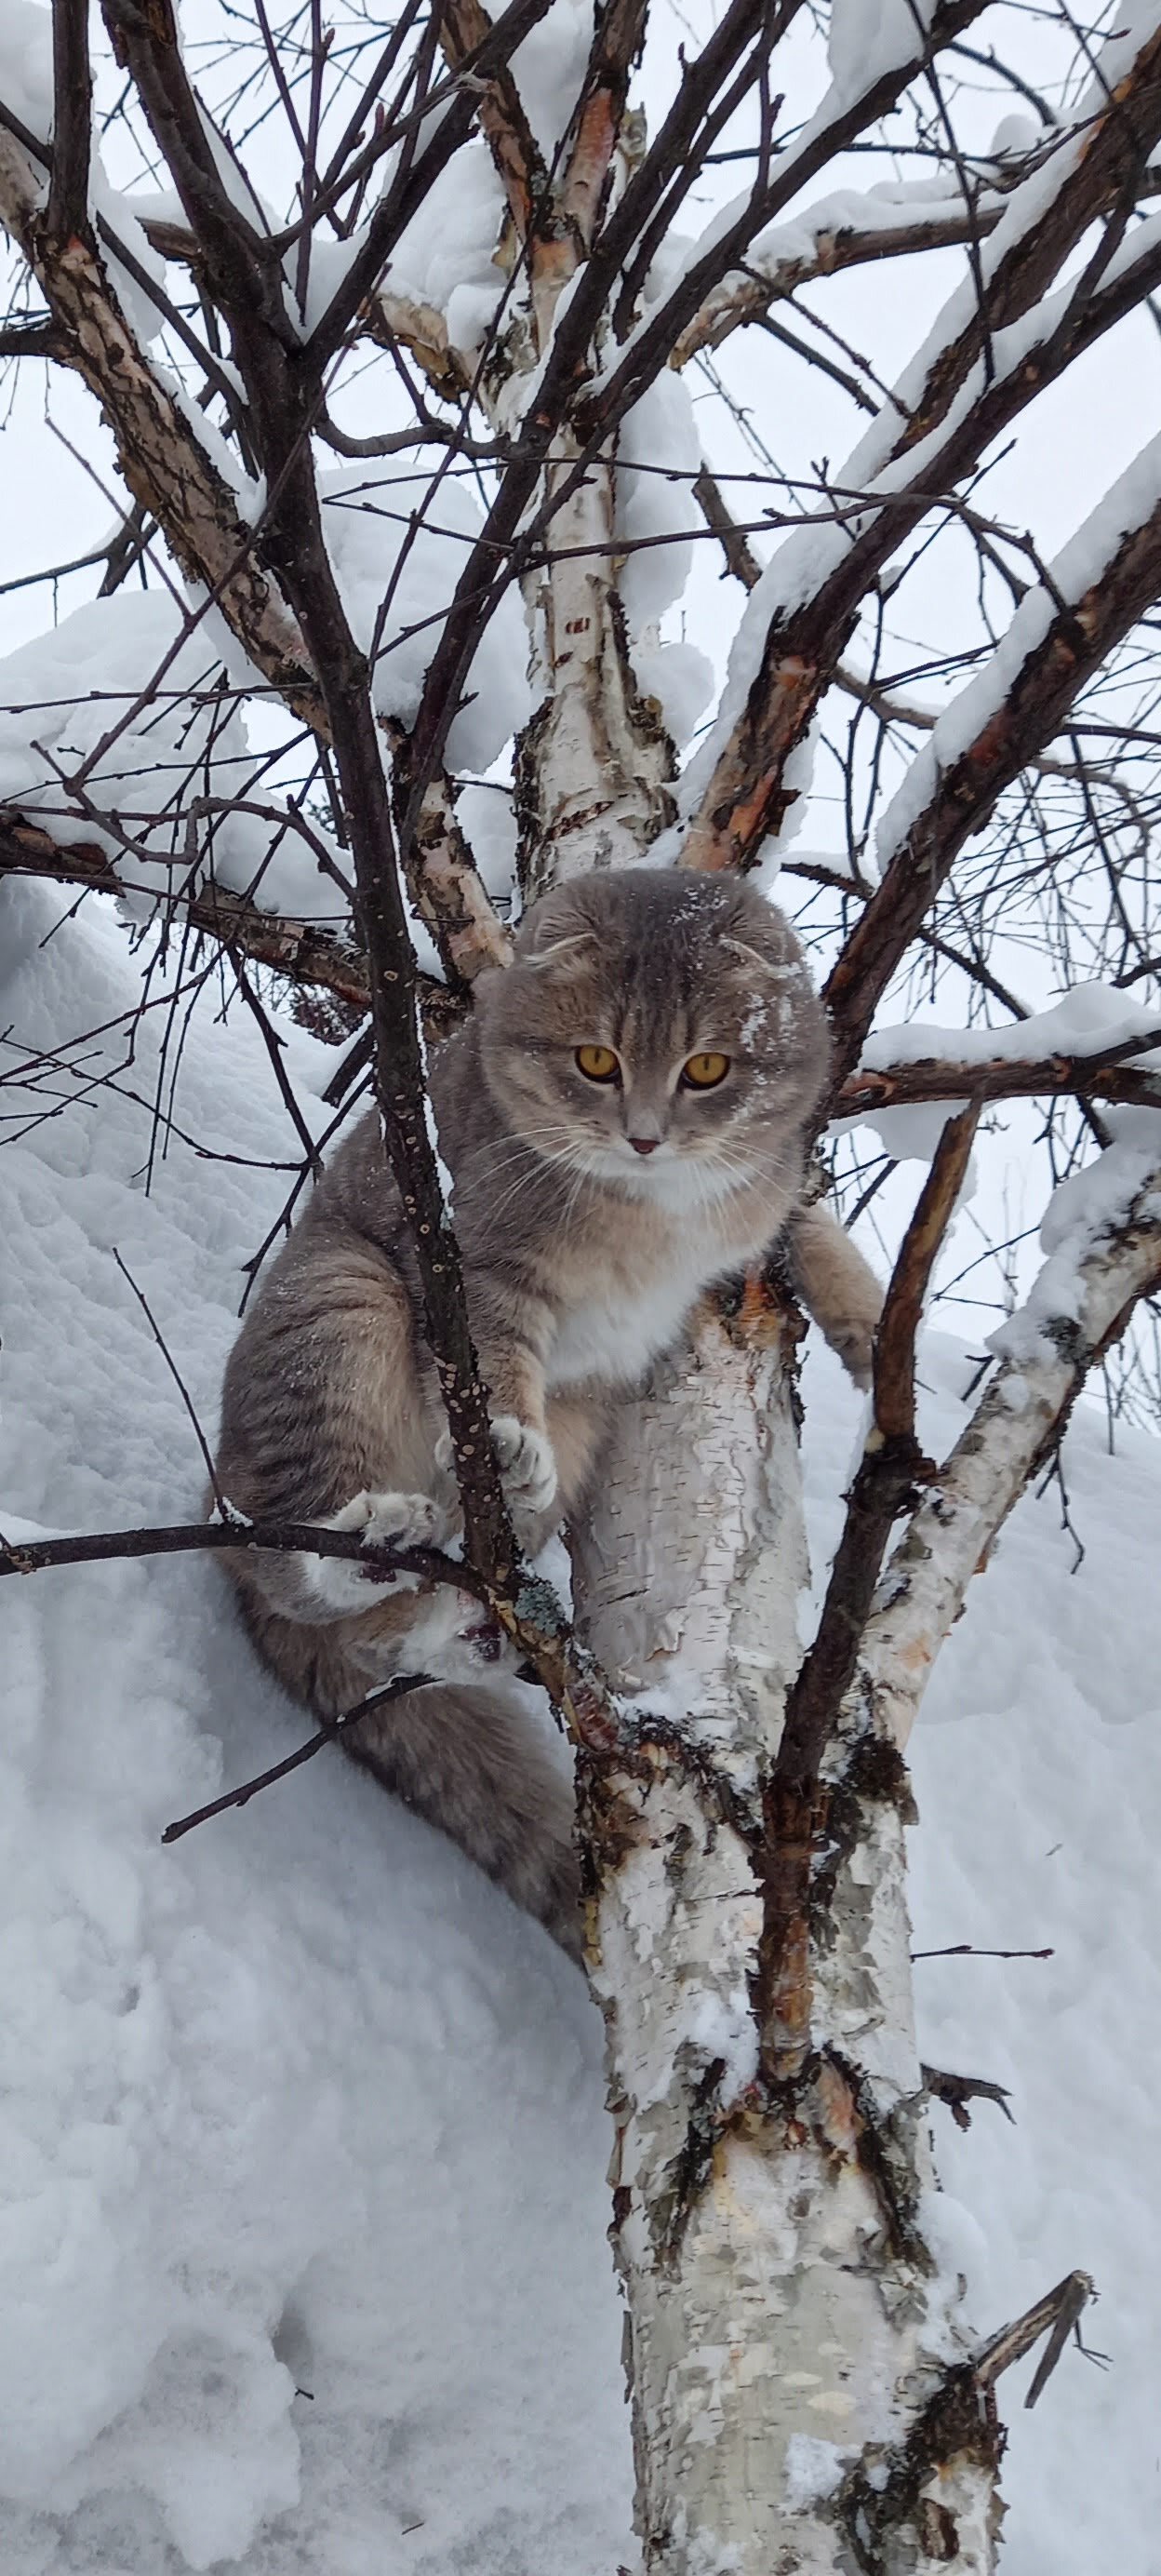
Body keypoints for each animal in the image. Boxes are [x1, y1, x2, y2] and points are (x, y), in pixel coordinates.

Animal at [213, 865, 880, 1947]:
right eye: (595, 1060)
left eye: (707, 1068)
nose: (644, 1135)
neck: (655, 1208)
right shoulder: (481, 1268)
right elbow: (491, 1364)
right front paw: (505, 1435)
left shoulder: (761, 1190)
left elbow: (807, 1215)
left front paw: (865, 1318)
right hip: (341, 1306)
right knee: (293, 1567)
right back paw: (374, 1533)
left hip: (574, 1424)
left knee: (386, 1636)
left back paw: (466, 1618)